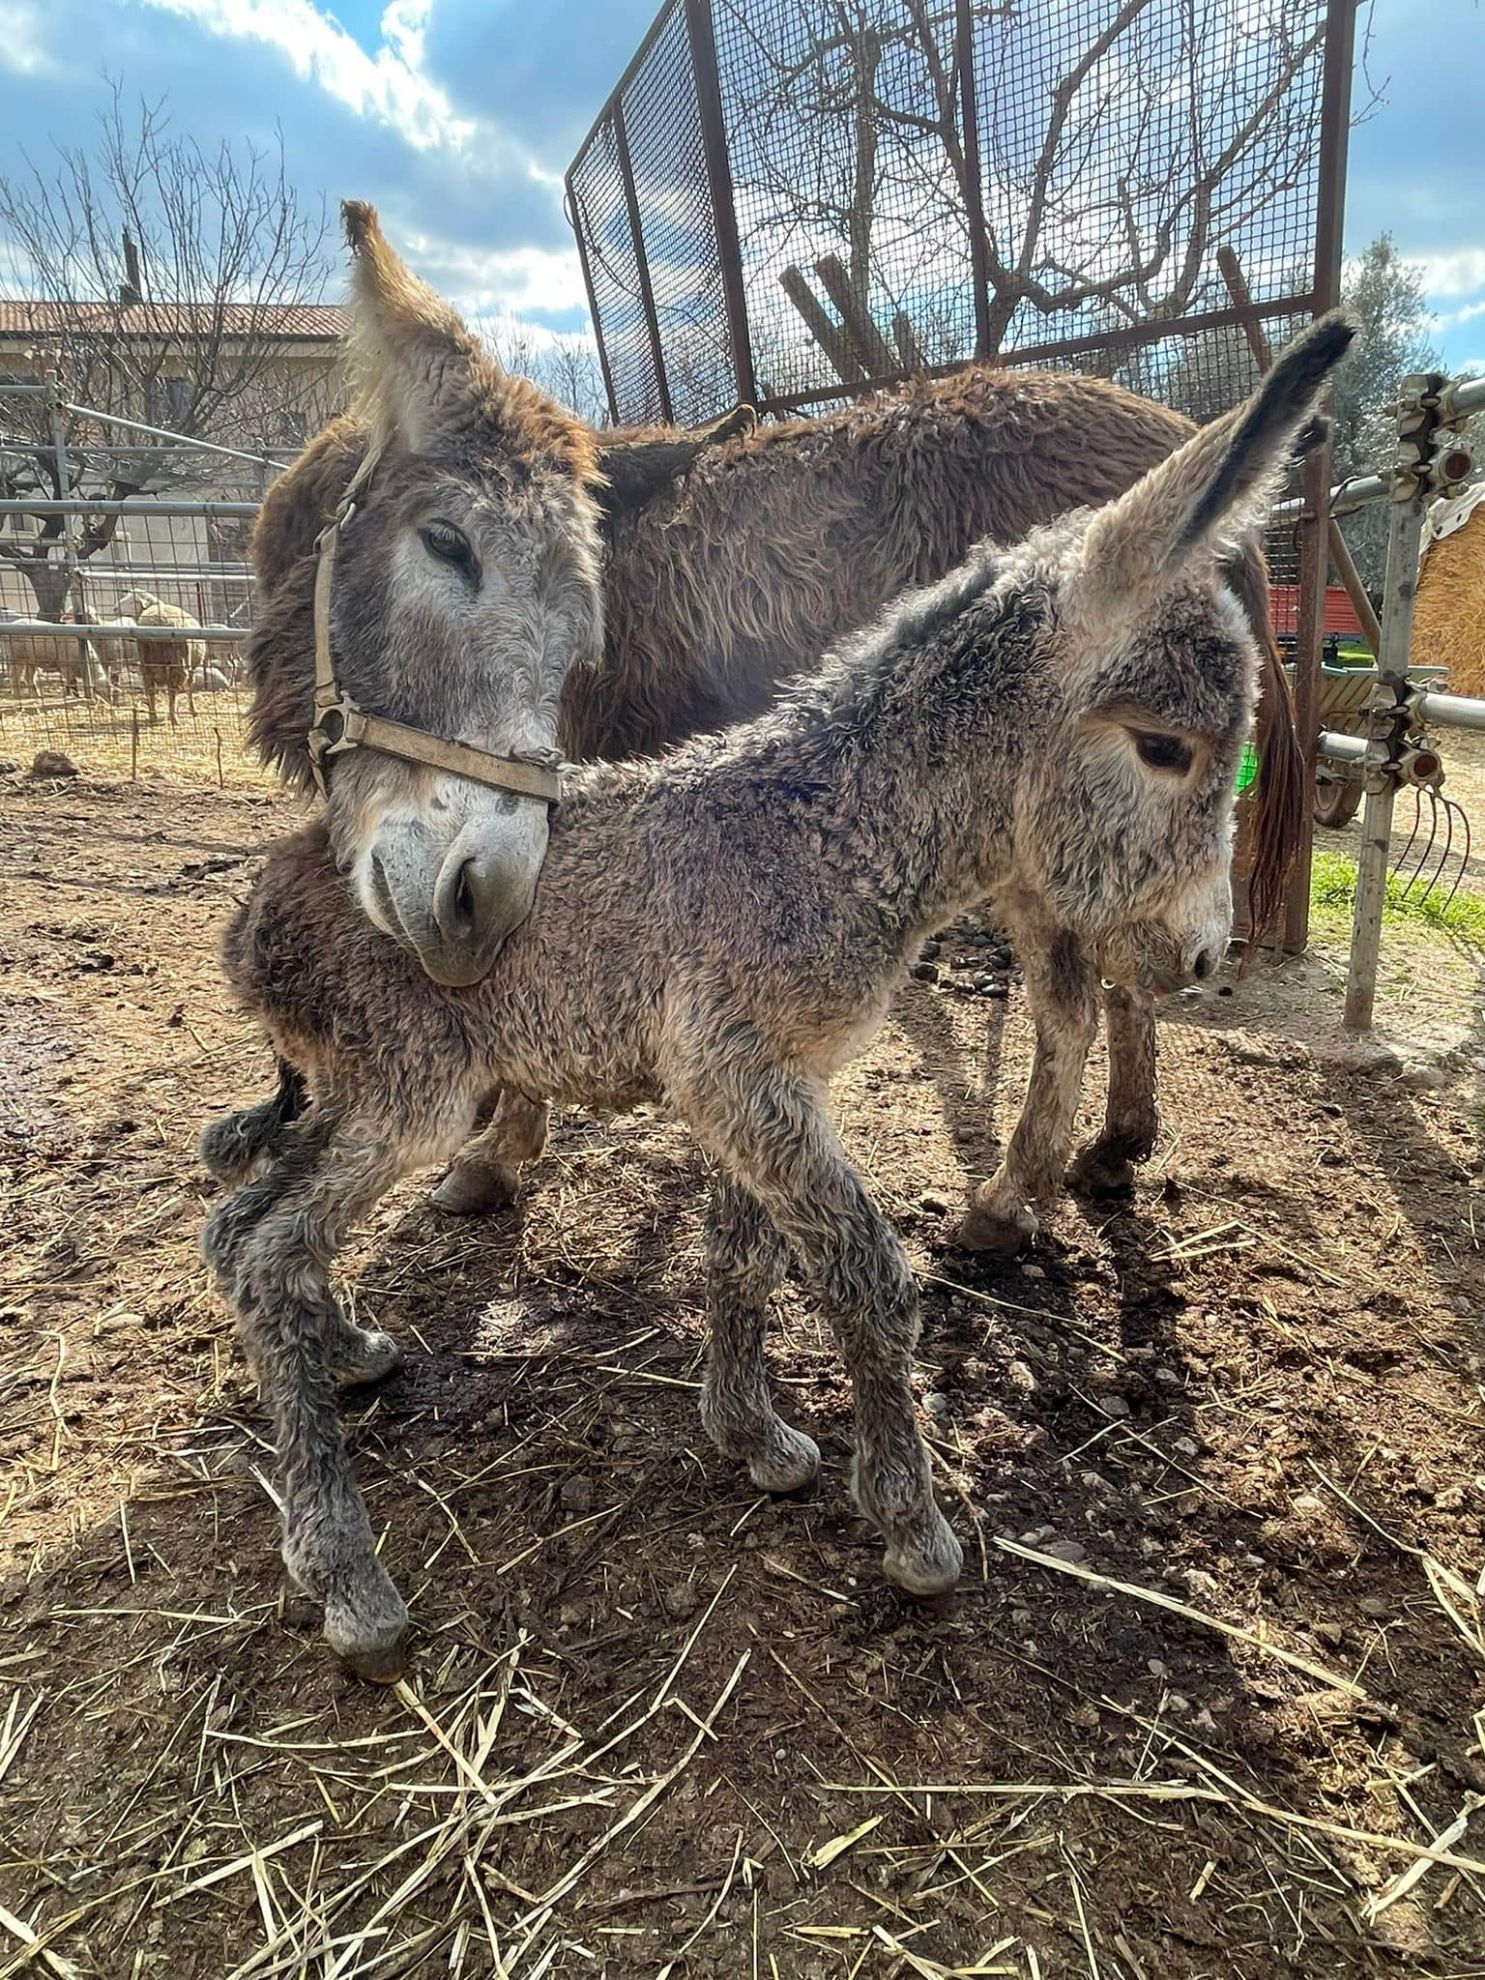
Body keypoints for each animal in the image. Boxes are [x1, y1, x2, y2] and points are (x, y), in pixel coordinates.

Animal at [203, 316, 1354, 1679]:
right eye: (1165, 747)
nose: (1206, 953)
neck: (826, 826)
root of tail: (272, 887)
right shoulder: (735, 1071)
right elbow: (862, 1271)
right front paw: (911, 1524)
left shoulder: (756, 1084)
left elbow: (742, 1253)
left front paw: (751, 1434)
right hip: (409, 1087)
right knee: (270, 1245)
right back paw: (348, 1576)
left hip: (356, 1087)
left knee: (239, 1225)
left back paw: (349, 1356)